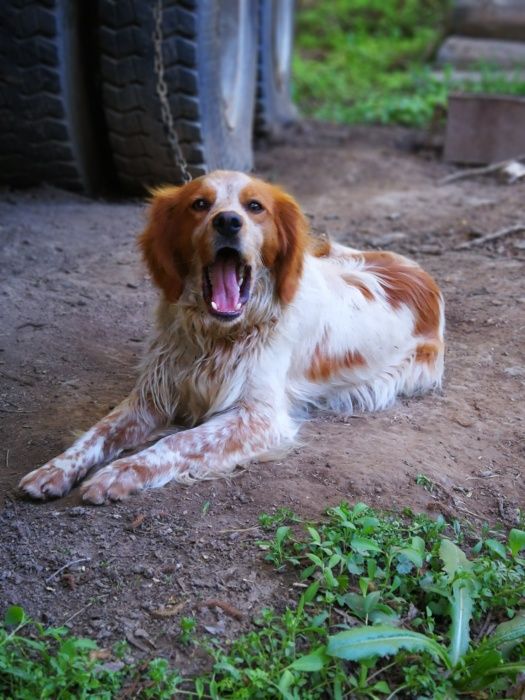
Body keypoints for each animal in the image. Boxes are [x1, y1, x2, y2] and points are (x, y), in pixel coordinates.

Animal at [19, 170, 442, 504]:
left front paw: (119, 473)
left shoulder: (258, 418)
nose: (227, 222)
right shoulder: (152, 395)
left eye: (255, 207)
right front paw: (55, 468)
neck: (216, 336)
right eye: (199, 204)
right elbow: (98, 432)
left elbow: (175, 442)